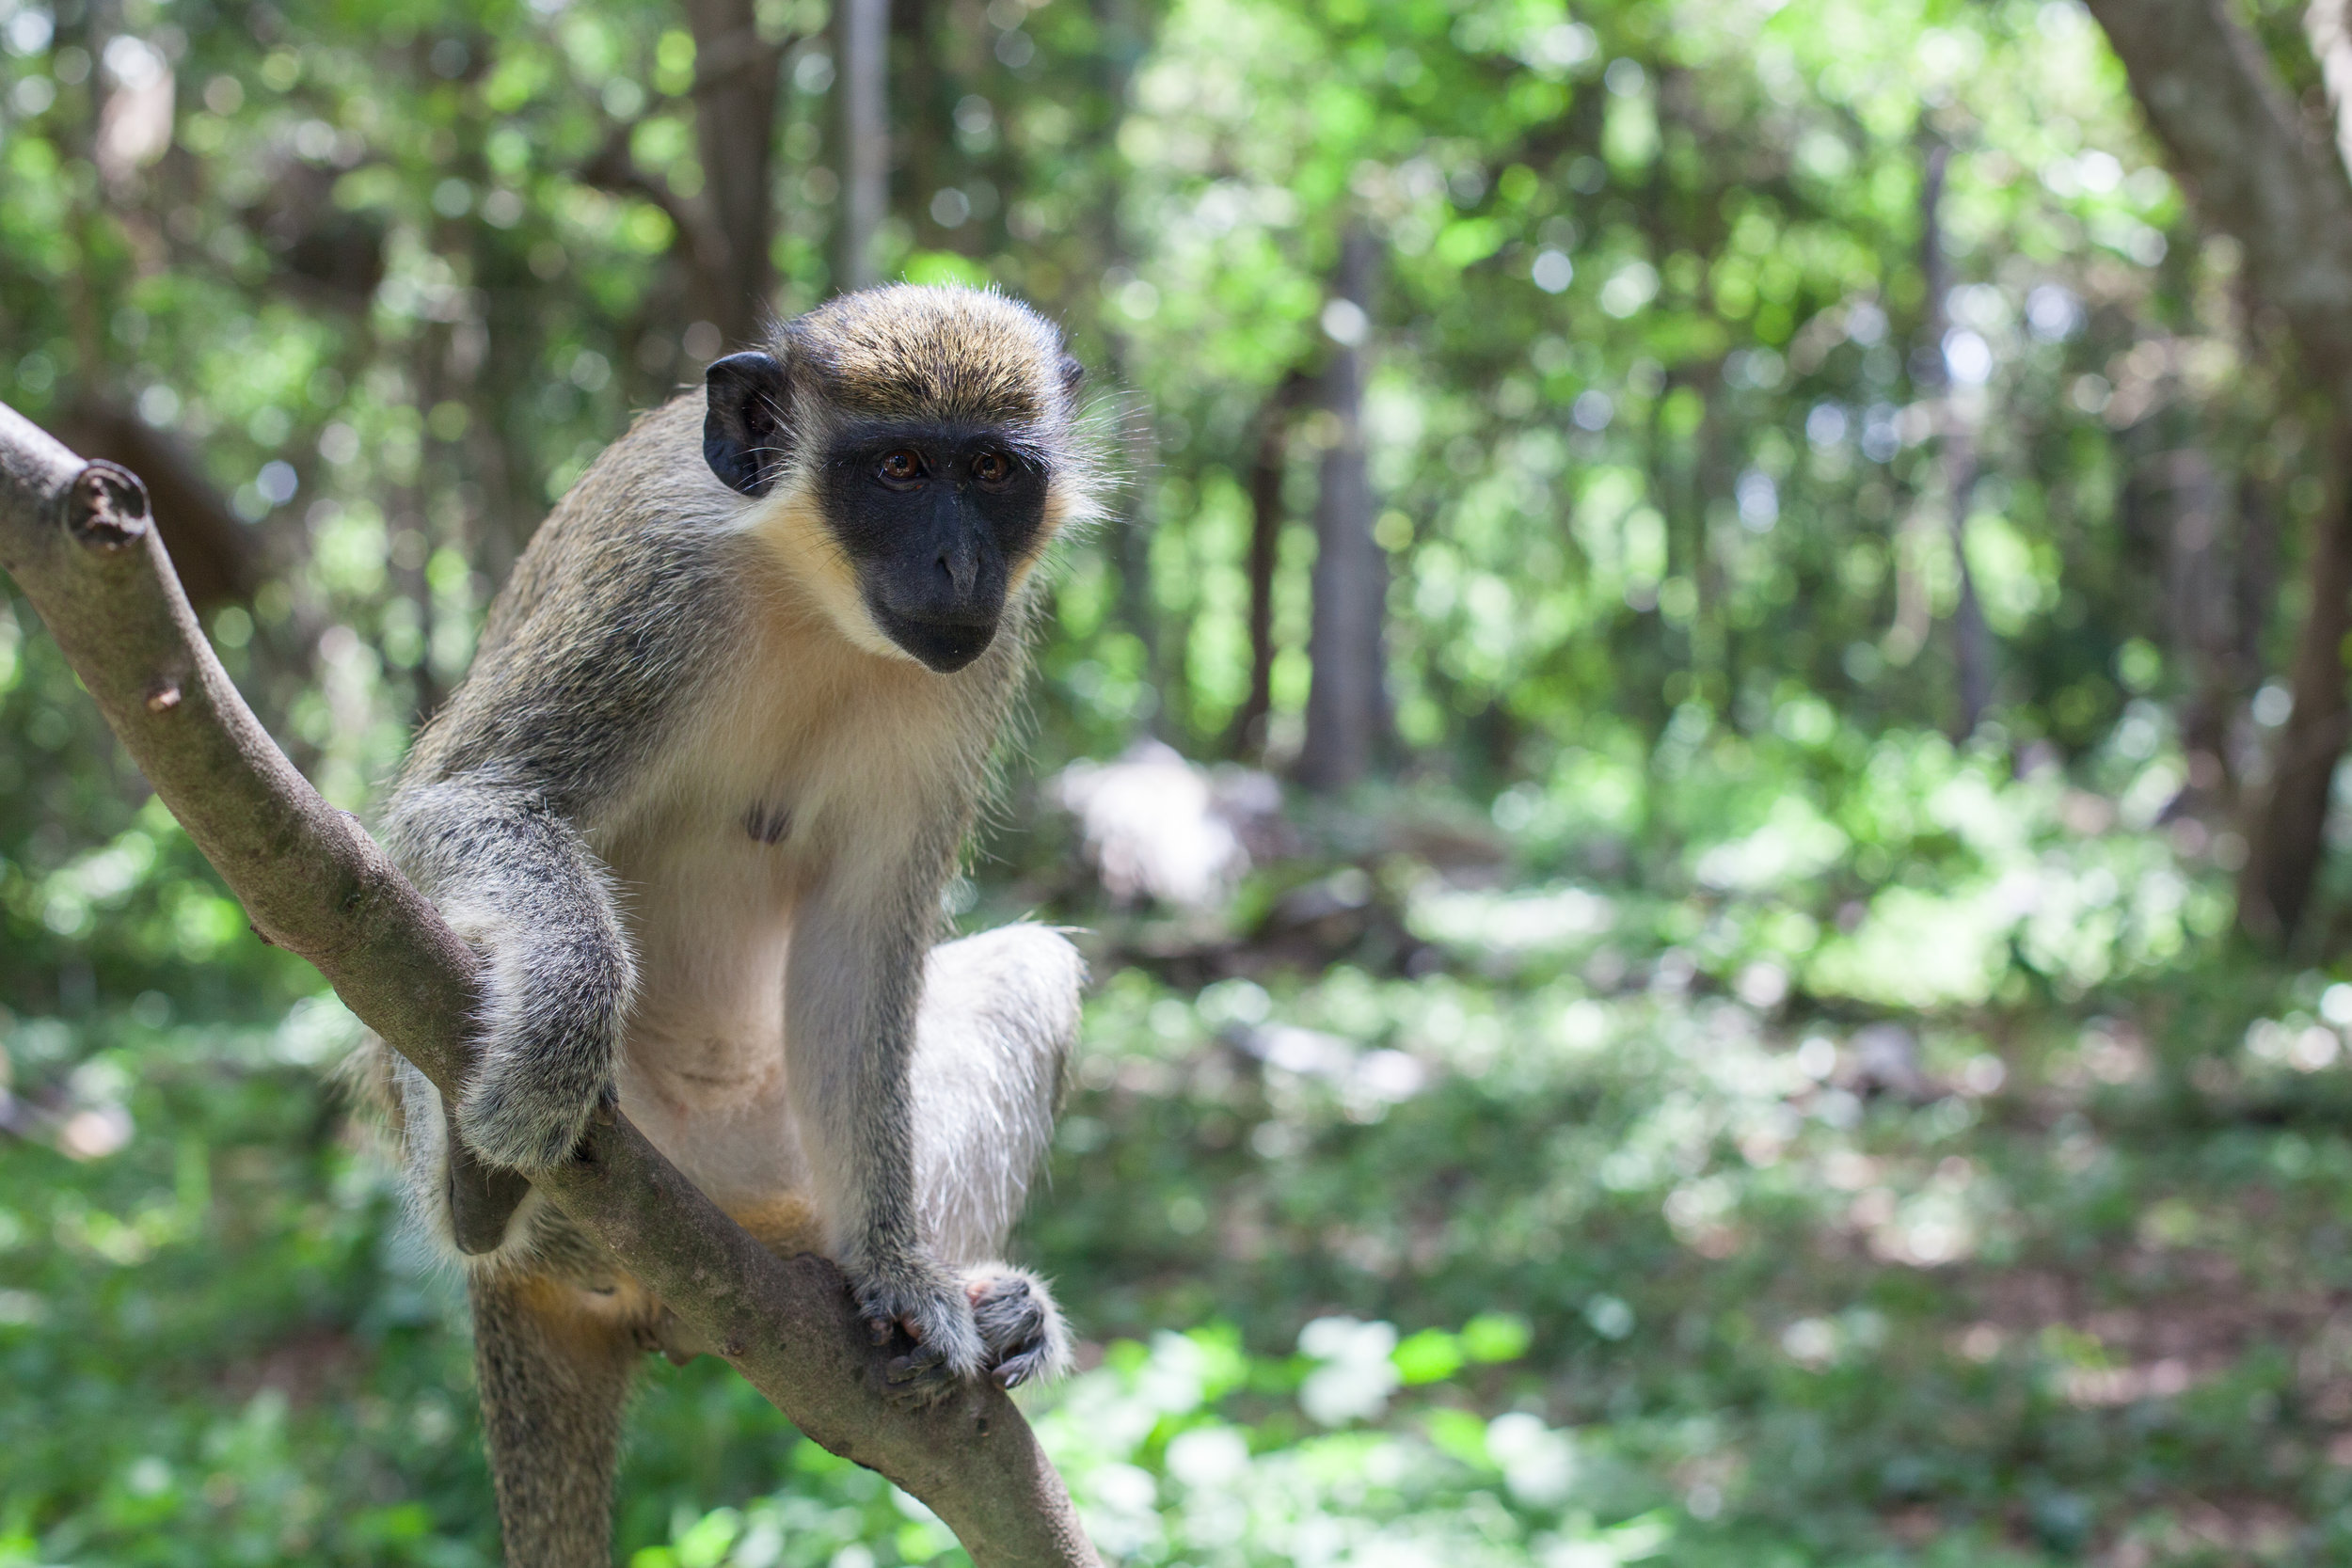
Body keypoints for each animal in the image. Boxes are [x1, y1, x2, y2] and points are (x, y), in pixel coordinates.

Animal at [362, 285, 1096, 1568]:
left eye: (994, 471)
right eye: (899, 467)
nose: (961, 563)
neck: (810, 592)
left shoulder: (976, 662)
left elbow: (862, 951)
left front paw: (902, 1277)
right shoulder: (651, 593)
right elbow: (461, 799)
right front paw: (559, 1028)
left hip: (771, 1147)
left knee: (1029, 969)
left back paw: (958, 1293)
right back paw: (481, 1195)